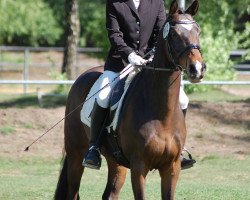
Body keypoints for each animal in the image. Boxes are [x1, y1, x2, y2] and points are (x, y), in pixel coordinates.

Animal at [54, 0, 205, 199]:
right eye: (173, 34)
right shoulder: (139, 166)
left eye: (198, 31)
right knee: (73, 189)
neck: (161, 114)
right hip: (76, 155)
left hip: (116, 161)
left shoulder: (171, 168)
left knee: (110, 193)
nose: (197, 69)